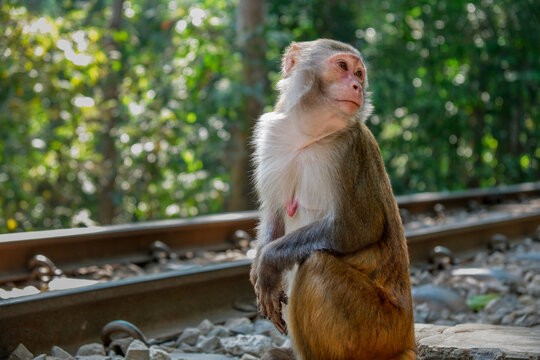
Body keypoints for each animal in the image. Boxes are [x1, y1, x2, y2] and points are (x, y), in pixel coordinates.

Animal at [251, 38, 416, 358]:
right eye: (343, 67)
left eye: (360, 74)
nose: (357, 86)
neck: (307, 134)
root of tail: (407, 338)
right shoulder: (270, 135)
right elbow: (274, 213)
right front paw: (259, 267)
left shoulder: (349, 150)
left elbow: (360, 227)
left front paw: (267, 262)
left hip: (377, 328)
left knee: (316, 264)